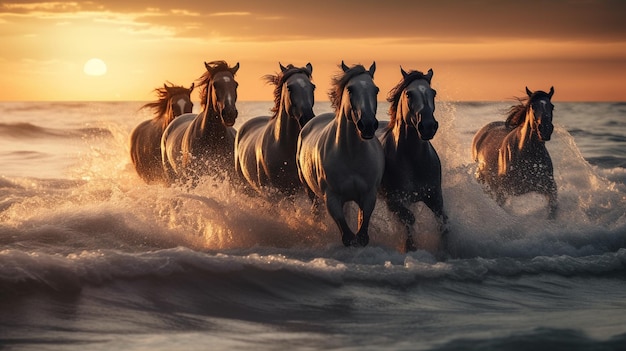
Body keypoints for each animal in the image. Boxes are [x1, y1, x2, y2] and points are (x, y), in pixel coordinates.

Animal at [294, 61, 382, 248]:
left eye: (376, 90)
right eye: (350, 89)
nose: (368, 125)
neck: (351, 155)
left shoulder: (369, 196)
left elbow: (362, 234)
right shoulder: (332, 198)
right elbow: (347, 237)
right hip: (310, 191)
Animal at [372, 66, 446, 253]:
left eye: (433, 93)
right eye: (409, 94)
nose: (428, 126)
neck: (413, 160)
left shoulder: (435, 197)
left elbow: (444, 223)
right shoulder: (394, 201)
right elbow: (409, 219)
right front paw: (409, 247)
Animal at [468, 86, 556, 219]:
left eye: (552, 106)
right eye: (533, 106)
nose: (545, 129)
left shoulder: (550, 189)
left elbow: (553, 210)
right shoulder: (502, 191)